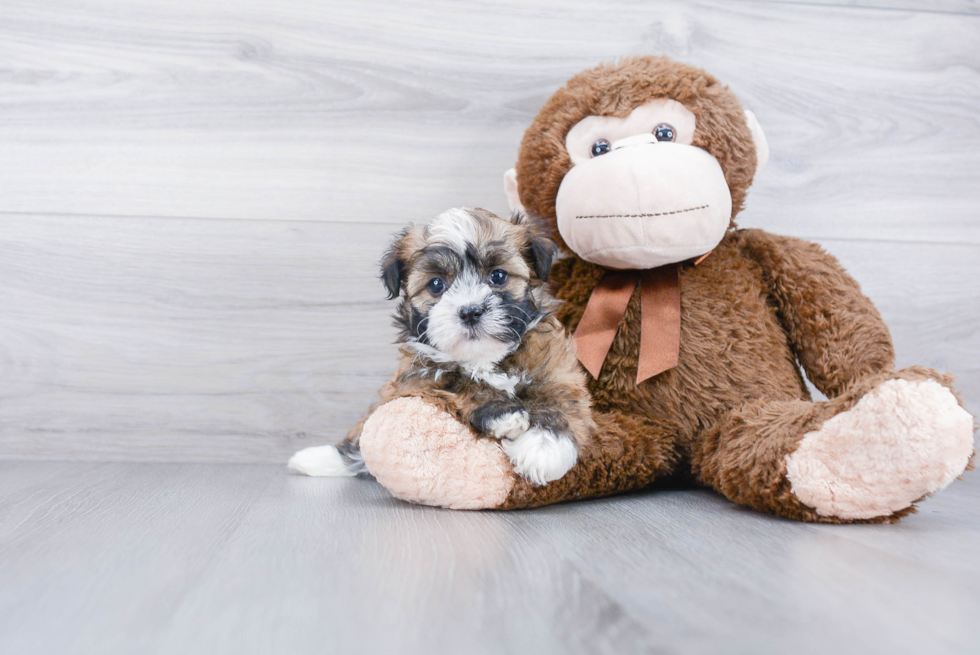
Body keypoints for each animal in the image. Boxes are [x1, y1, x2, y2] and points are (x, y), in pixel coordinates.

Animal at [290, 208, 596, 484]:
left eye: (498, 276)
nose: (470, 311)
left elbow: (558, 402)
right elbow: (459, 383)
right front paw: (504, 414)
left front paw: (544, 448)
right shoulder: (417, 377)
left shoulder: (556, 370)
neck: (482, 357)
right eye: (436, 284)